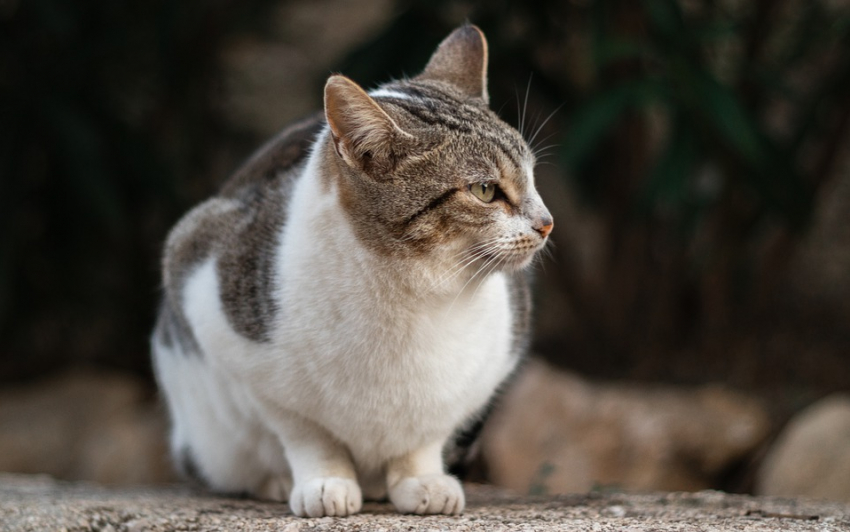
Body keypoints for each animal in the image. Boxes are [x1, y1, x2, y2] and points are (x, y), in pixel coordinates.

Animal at [150, 23, 552, 516]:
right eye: (485, 190)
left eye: (531, 176)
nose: (547, 222)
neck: (414, 293)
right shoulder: (202, 278)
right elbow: (308, 434)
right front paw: (324, 483)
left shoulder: (487, 365)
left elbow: (425, 435)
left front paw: (422, 480)